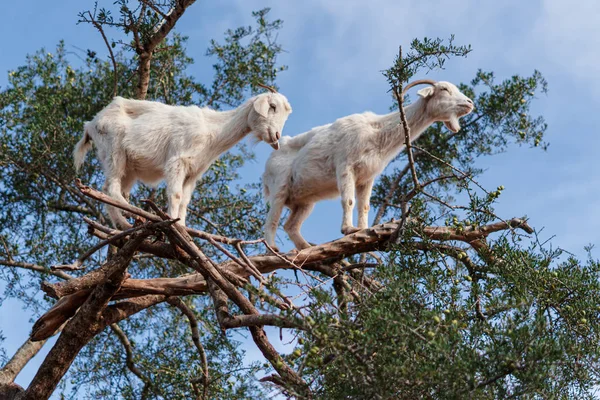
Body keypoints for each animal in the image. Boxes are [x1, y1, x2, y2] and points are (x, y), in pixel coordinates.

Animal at [262, 79, 474, 250]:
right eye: (444, 89)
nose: (469, 103)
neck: (376, 132)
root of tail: (267, 165)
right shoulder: (345, 165)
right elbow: (348, 200)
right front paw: (348, 229)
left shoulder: (366, 177)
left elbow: (364, 206)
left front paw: (363, 231)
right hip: (280, 187)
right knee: (271, 220)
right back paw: (273, 249)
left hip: (304, 201)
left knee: (290, 225)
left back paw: (306, 248)